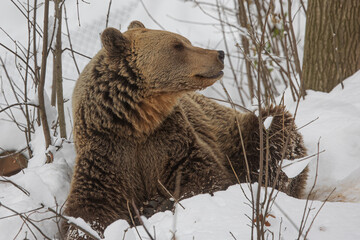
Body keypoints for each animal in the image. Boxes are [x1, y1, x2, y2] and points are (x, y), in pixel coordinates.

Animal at [64, 21, 306, 240]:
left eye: (184, 41)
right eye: (178, 45)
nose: (219, 54)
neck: (138, 121)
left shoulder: (171, 139)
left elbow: (204, 175)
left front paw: (156, 204)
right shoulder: (108, 152)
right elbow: (91, 208)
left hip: (242, 134)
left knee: (272, 132)